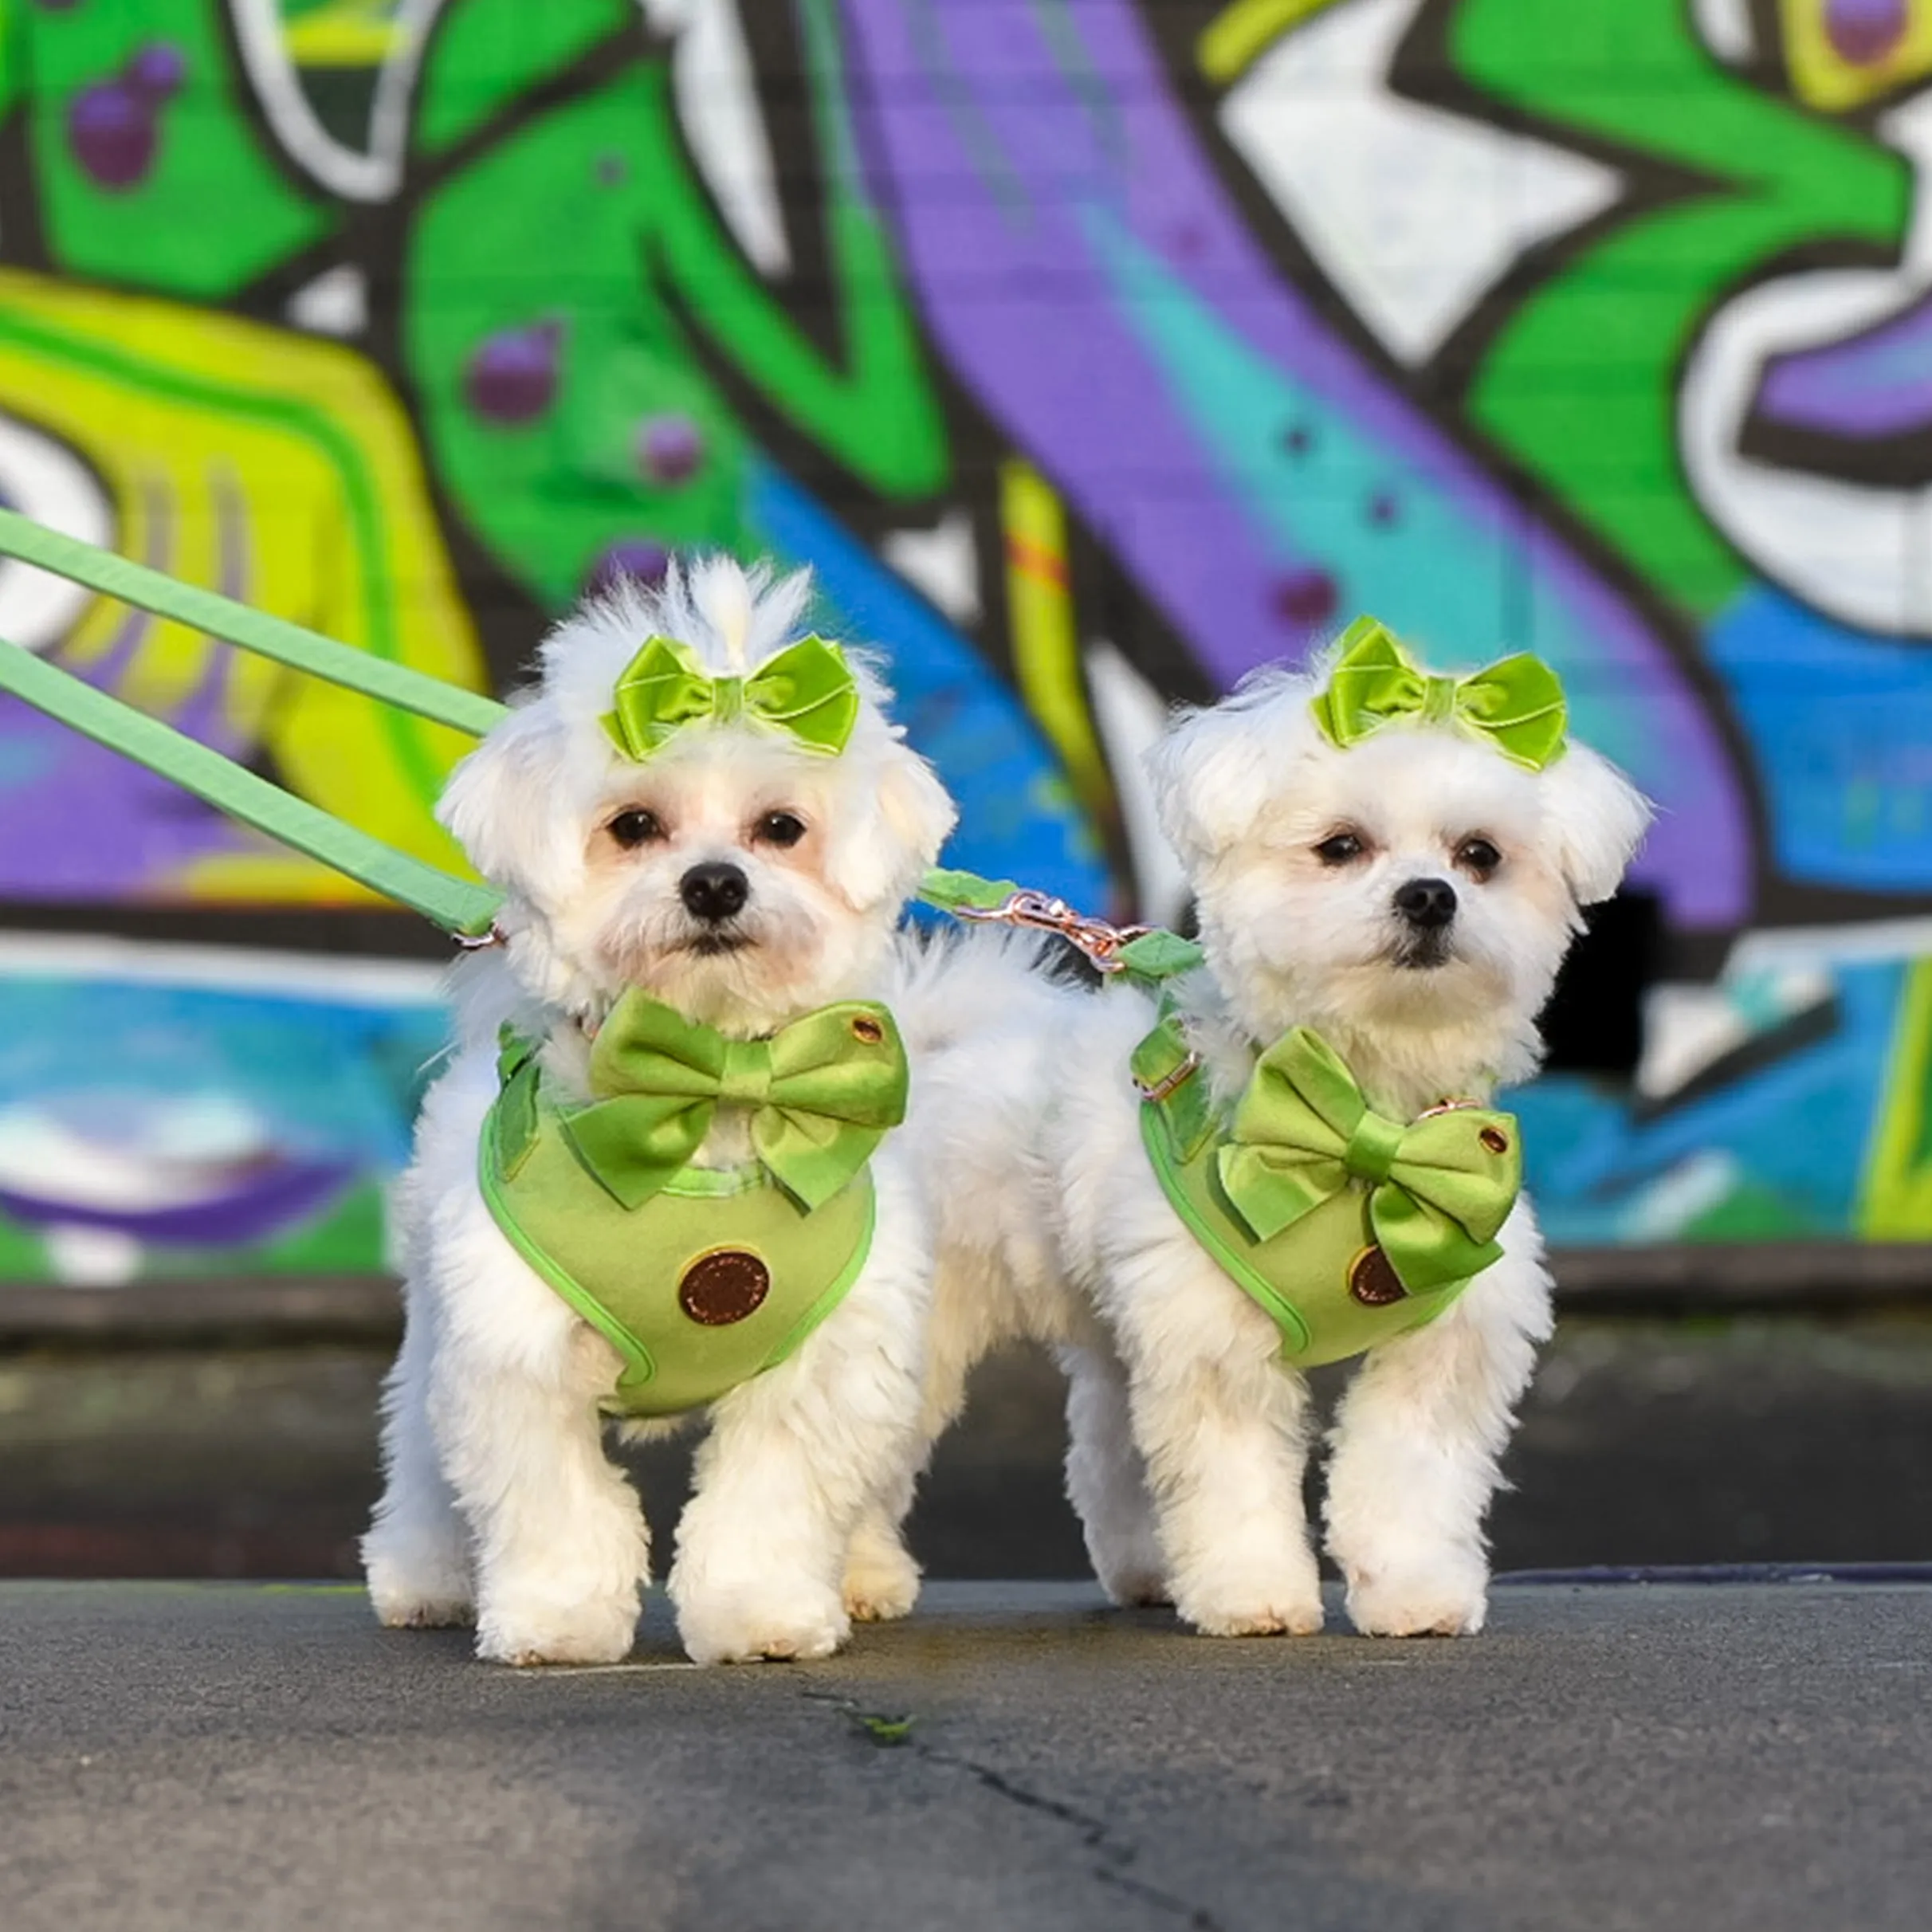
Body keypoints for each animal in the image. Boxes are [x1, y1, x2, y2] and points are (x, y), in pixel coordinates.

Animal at [359, 556, 954, 1661]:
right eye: (633, 826)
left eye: (780, 829)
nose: (715, 883)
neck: (707, 1089)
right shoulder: (515, 1350)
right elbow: (556, 1506)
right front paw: (556, 1620)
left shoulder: (828, 1365)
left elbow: (771, 1504)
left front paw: (764, 1614)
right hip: (435, 1335)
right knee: (420, 1458)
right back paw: (425, 1578)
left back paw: (863, 1576)